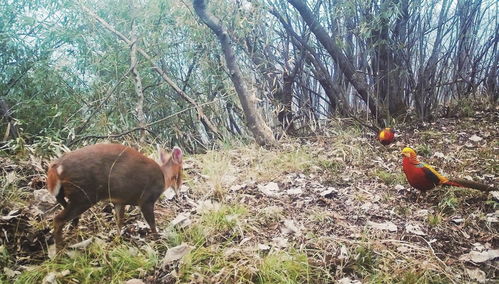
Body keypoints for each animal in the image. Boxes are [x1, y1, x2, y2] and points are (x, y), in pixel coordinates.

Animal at [46, 144, 184, 251]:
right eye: (182, 169)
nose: (179, 189)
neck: (164, 177)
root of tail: (55, 167)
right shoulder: (146, 200)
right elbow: (152, 223)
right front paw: (159, 242)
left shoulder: (120, 201)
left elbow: (119, 221)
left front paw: (117, 241)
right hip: (83, 196)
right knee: (58, 219)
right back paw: (59, 251)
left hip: (67, 195)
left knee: (71, 218)